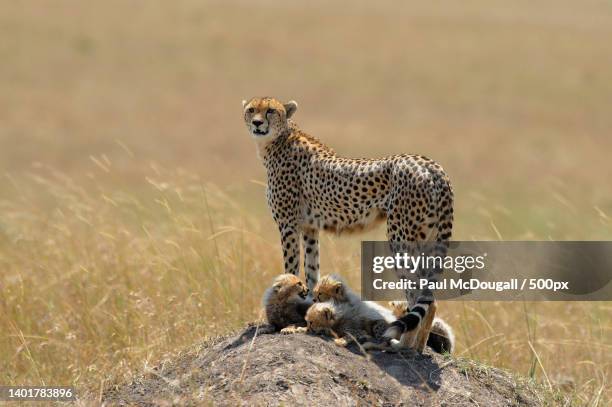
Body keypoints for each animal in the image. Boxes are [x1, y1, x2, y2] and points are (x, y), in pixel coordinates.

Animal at [241, 97, 452, 352]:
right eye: (251, 109)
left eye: (271, 110)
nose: (257, 123)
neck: (279, 139)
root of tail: (431, 164)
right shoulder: (310, 228)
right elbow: (312, 270)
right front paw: (310, 301)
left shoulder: (288, 224)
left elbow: (291, 267)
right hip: (428, 238)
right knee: (429, 299)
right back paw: (418, 349)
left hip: (401, 238)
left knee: (416, 294)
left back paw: (401, 345)